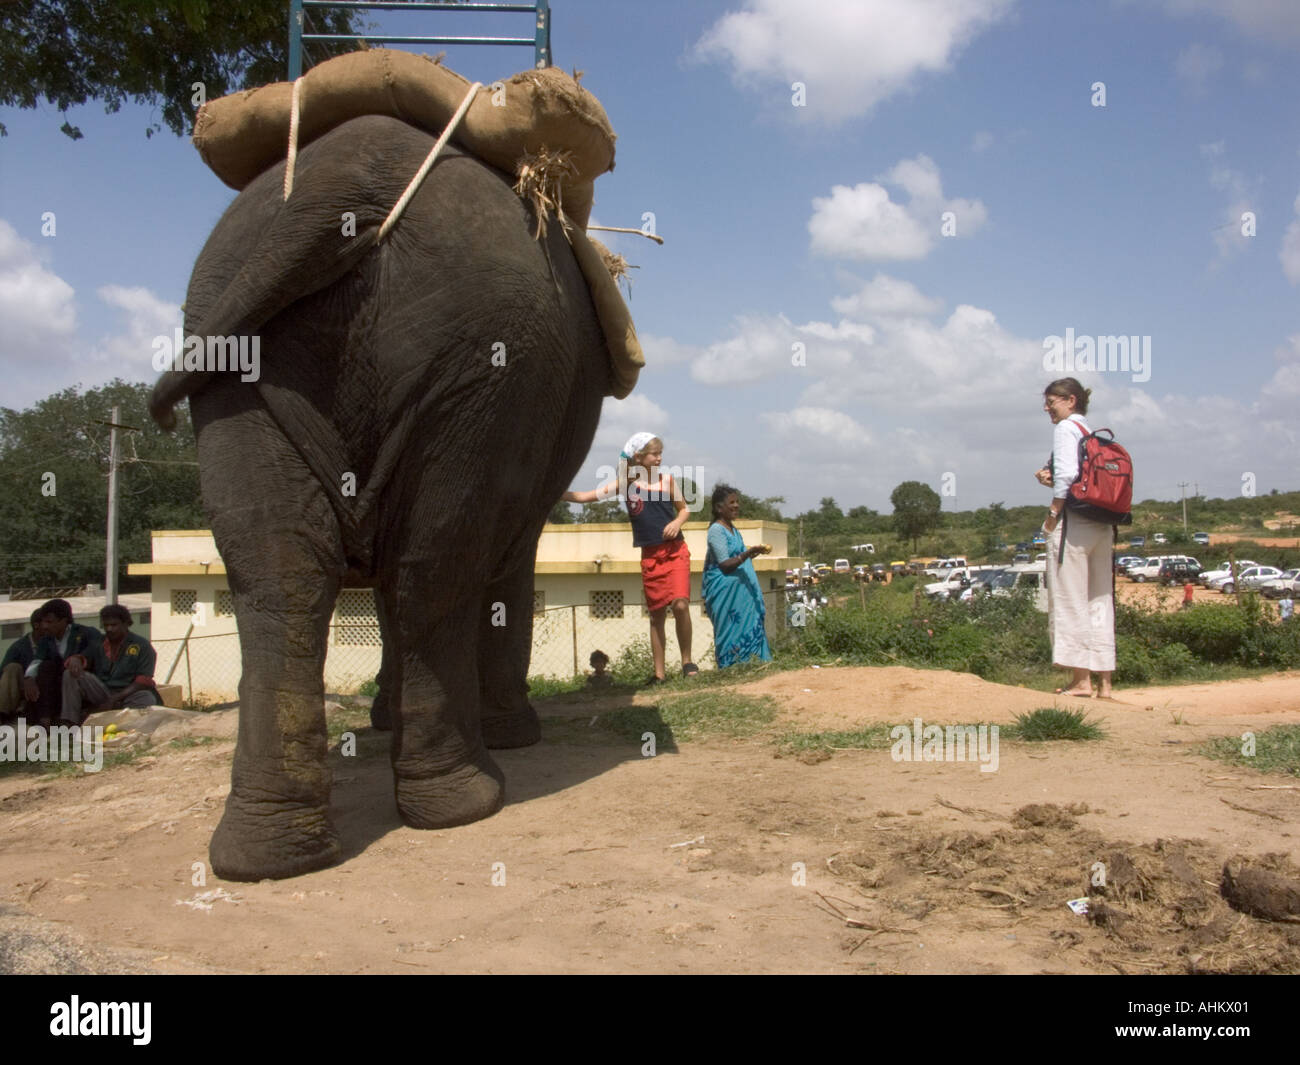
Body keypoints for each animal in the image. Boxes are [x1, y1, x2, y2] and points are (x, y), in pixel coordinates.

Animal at [151, 114, 610, 881]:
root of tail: (344, 182)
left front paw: (384, 721)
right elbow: (505, 560)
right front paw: (512, 735)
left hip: (240, 352)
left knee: (286, 570)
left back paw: (271, 854)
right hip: (489, 359)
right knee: (431, 566)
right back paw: (467, 800)